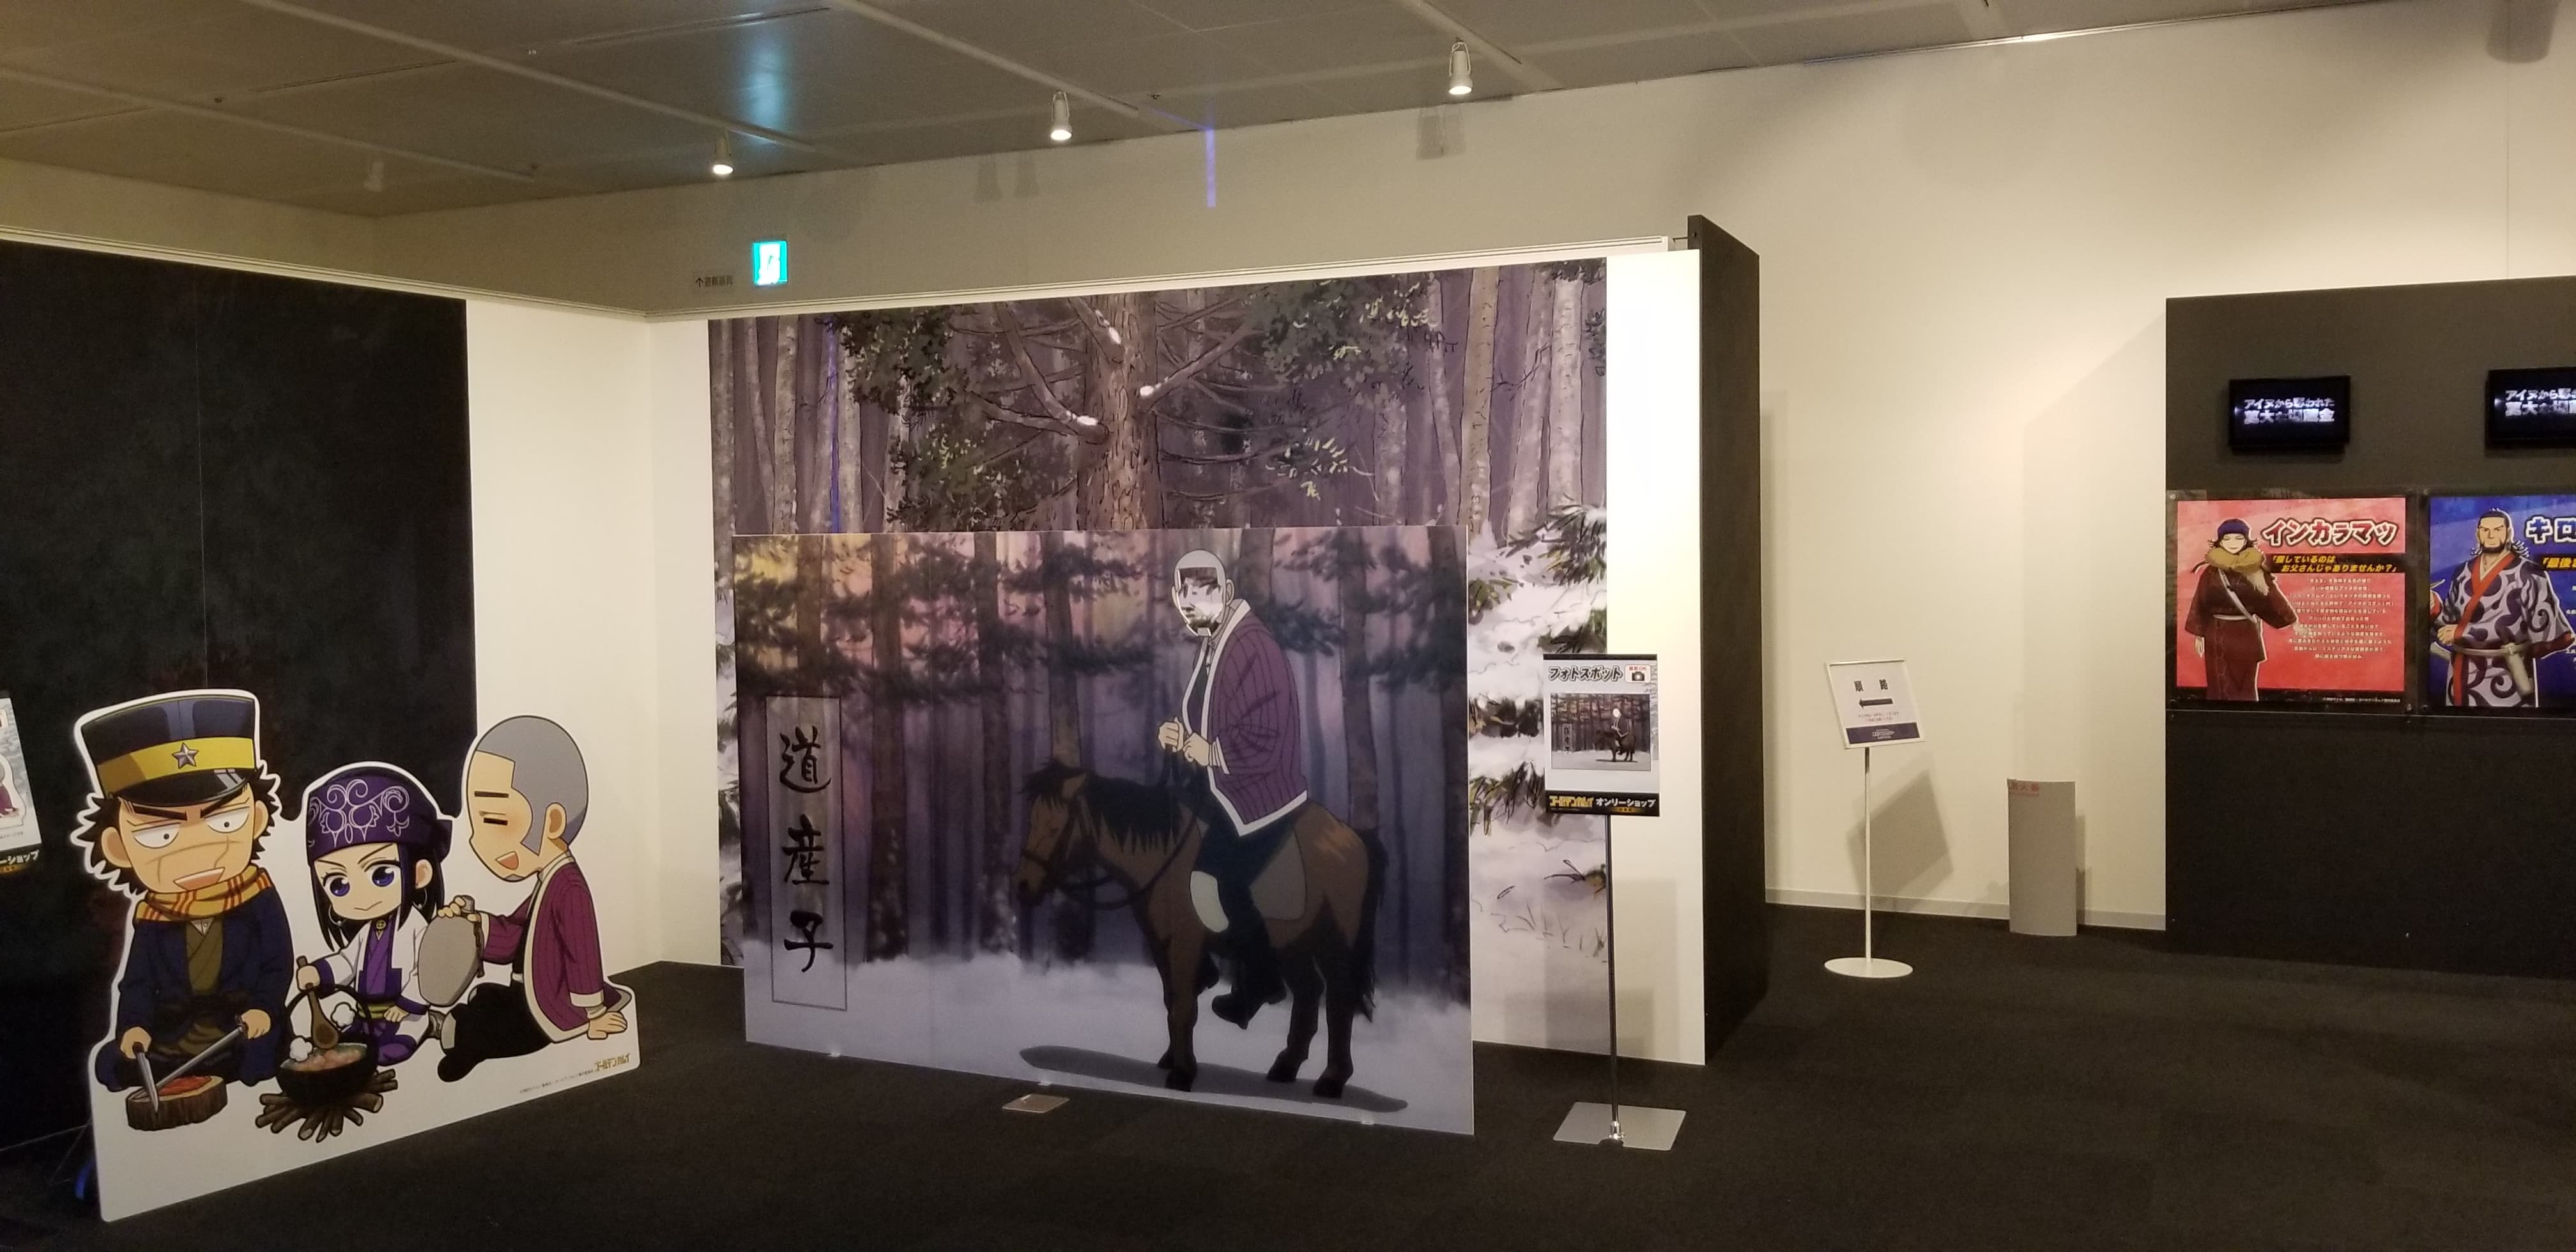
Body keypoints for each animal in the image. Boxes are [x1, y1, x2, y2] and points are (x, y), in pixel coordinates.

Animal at [1012, 762, 1383, 1099]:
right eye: (1031, 821)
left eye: (1053, 826)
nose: (1023, 887)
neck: (1163, 853)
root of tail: (1351, 836)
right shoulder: (1161, 943)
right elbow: (1171, 1001)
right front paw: (1171, 1059)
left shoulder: (1186, 943)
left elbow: (1184, 1005)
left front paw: (1182, 1073)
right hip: (1294, 944)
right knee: (1309, 993)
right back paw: (1285, 1067)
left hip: (1334, 942)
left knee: (1339, 999)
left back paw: (1332, 1081)